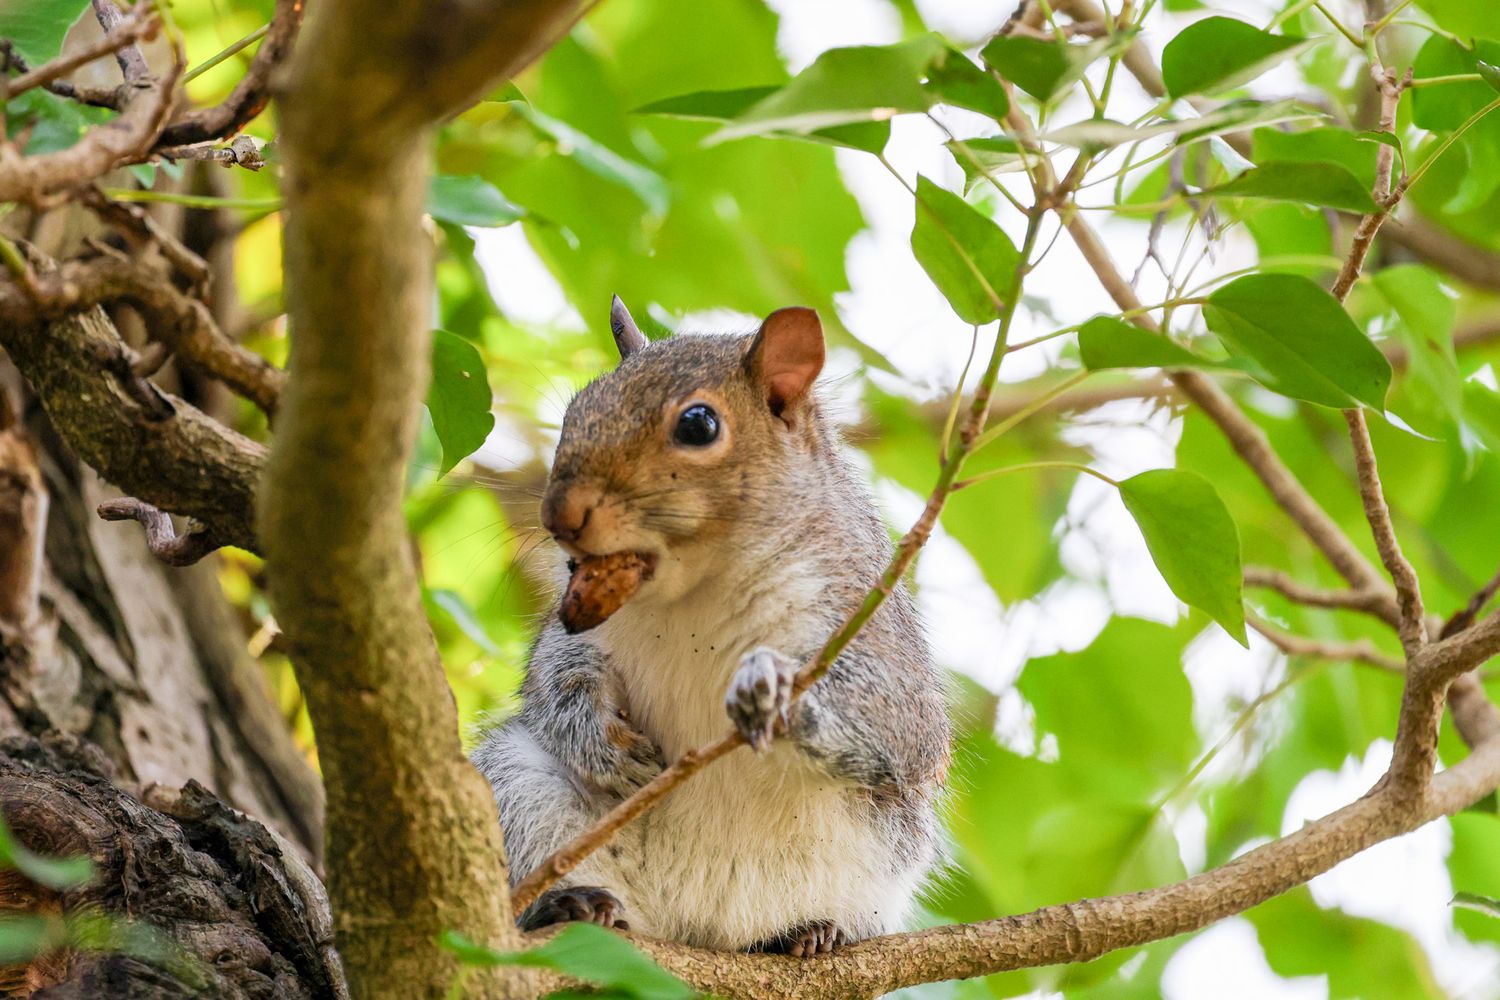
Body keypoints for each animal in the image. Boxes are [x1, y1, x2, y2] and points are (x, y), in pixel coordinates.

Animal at [472, 298, 951, 956]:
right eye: (576, 408)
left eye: (698, 426)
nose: (557, 515)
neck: (696, 585)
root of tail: (692, 927)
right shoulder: (580, 626)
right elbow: (556, 679)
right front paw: (602, 741)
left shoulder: (865, 614)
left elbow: (896, 722)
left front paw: (776, 694)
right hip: (522, 788)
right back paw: (566, 903)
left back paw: (808, 932)